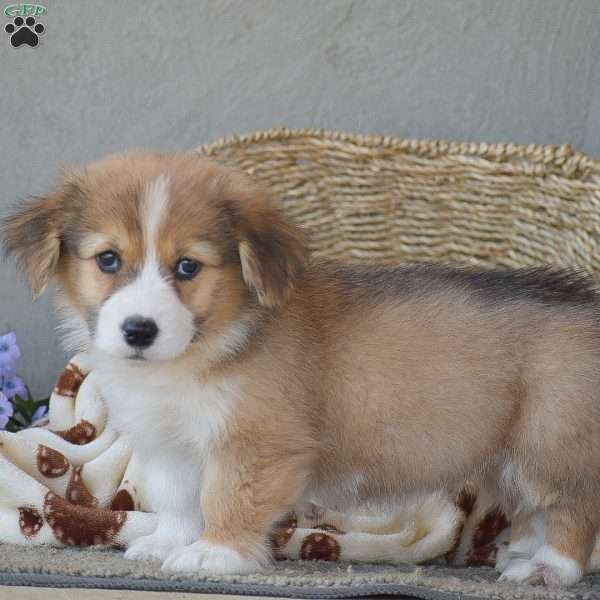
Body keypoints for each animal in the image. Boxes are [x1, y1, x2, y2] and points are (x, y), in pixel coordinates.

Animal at [3, 151, 600, 584]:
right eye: (108, 259)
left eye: (188, 266)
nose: (139, 330)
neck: (205, 349)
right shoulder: (171, 444)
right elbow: (178, 500)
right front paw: (170, 543)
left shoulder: (256, 445)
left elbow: (226, 499)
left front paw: (216, 554)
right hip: (511, 458)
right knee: (536, 509)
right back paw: (521, 552)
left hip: (550, 447)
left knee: (575, 510)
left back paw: (549, 568)